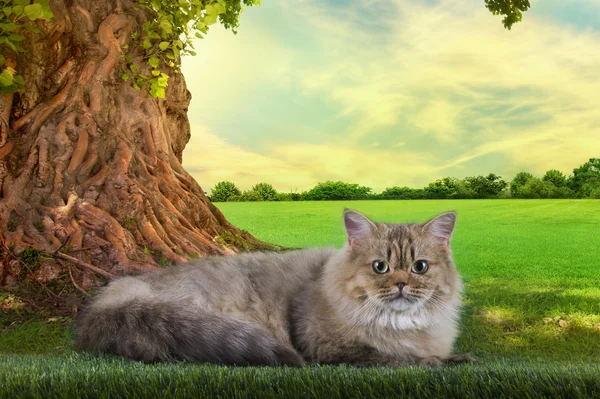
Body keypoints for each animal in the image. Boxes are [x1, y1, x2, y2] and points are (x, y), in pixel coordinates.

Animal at [76, 211, 468, 368]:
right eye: (380, 267)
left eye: (419, 267)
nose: (401, 284)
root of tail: (121, 292)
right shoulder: (330, 349)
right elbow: (399, 358)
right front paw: (446, 361)